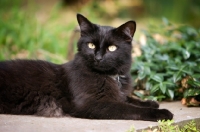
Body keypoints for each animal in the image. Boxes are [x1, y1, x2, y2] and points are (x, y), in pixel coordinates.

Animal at [0, 13, 173, 121]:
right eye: (91, 45)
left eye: (112, 48)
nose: (98, 57)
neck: (111, 77)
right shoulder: (92, 104)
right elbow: (128, 108)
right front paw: (160, 112)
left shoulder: (117, 94)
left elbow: (128, 98)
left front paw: (150, 102)